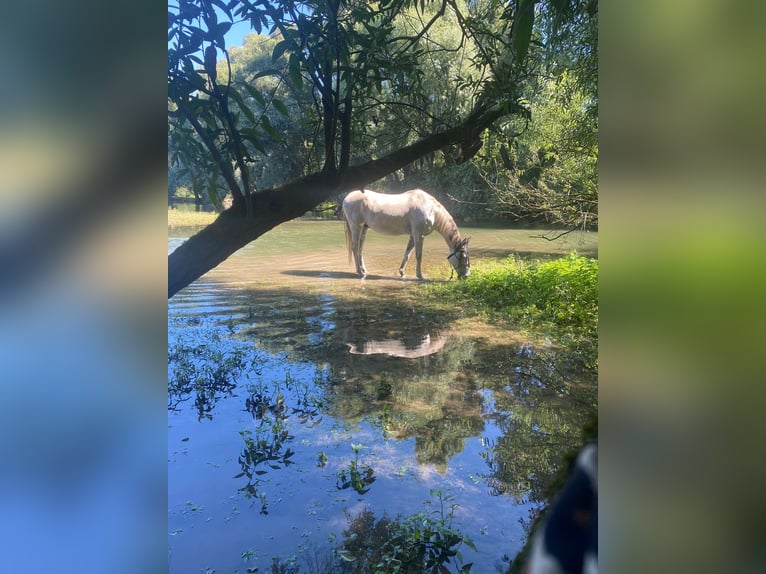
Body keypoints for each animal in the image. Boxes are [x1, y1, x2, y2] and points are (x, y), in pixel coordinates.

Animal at [344, 189, 472, 282]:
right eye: (463, 256)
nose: (466, 276)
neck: (430, 209)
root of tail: (346, 198)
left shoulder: (412, 236)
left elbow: (407, 254)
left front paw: (401, 272)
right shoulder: (419, 235)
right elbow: (418, 256)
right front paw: (420, 276)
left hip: (364, 228)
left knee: (360, 249)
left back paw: (364, 270)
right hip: (356, 226)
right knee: (355, 247)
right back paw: (359, 271)